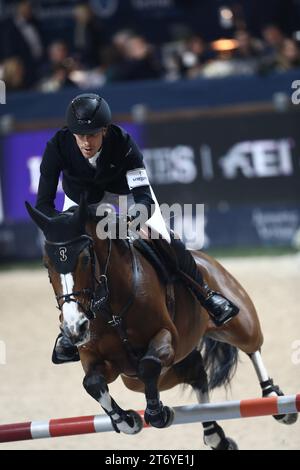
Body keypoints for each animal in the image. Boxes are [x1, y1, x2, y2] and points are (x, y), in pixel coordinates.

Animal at [25, 199, 298, 452]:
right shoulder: (98, 358)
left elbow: (148, 364)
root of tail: (203, 258)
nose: (75, 328)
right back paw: (215, 436)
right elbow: (92, 383)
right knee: (197, 373)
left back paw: (275, 400)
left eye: (84, 259)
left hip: (238, 322)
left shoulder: (166, 339)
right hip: (144, 378)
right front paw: (127, 421)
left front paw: (157, 414)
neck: (111, 308)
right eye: (46, 264)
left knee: (252, 347)